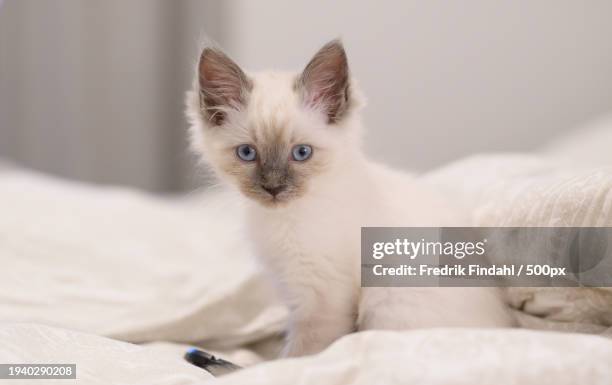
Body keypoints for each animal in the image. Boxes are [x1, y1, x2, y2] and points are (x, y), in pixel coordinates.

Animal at [188, 39, 516, 356]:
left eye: (301, 153)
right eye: (247, 153)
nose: (273, 188)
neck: (286, 218)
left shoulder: (321, 298)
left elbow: (300, 354)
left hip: (386, 297)